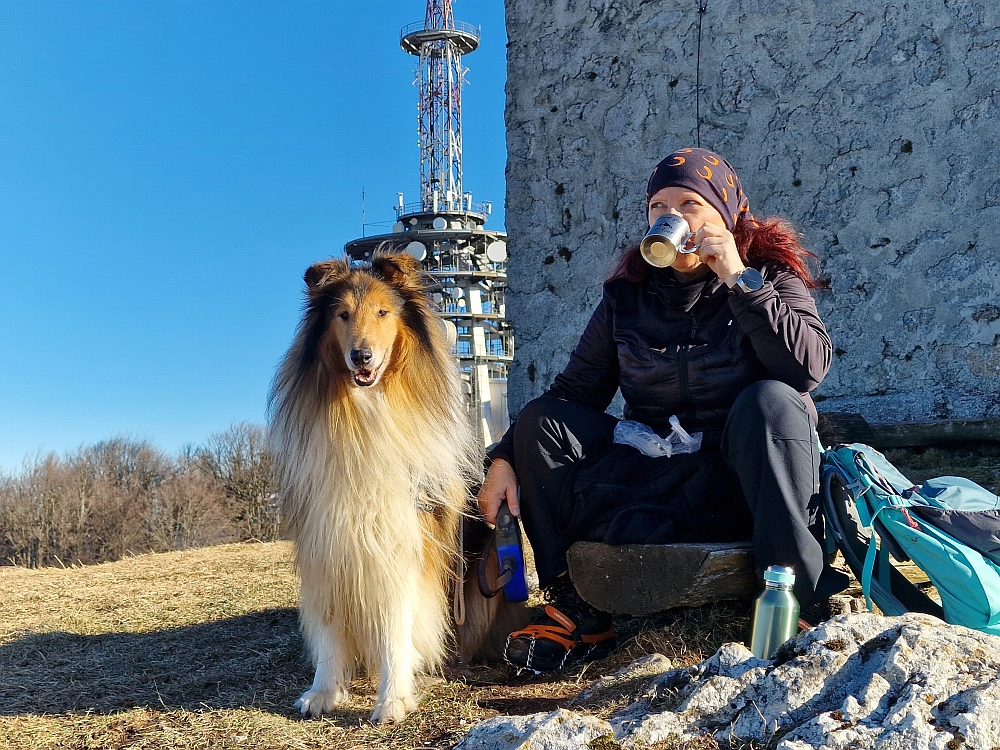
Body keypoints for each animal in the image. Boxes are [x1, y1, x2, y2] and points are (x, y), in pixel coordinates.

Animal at [270, 256, 480, 724]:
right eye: (343, 314)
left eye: (383, 312)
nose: (361, 355)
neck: (363, 417)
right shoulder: (328, 536)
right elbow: (331, 623)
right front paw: (323, 690)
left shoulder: (401, 540)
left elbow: (394, 625)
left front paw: (393, 697)